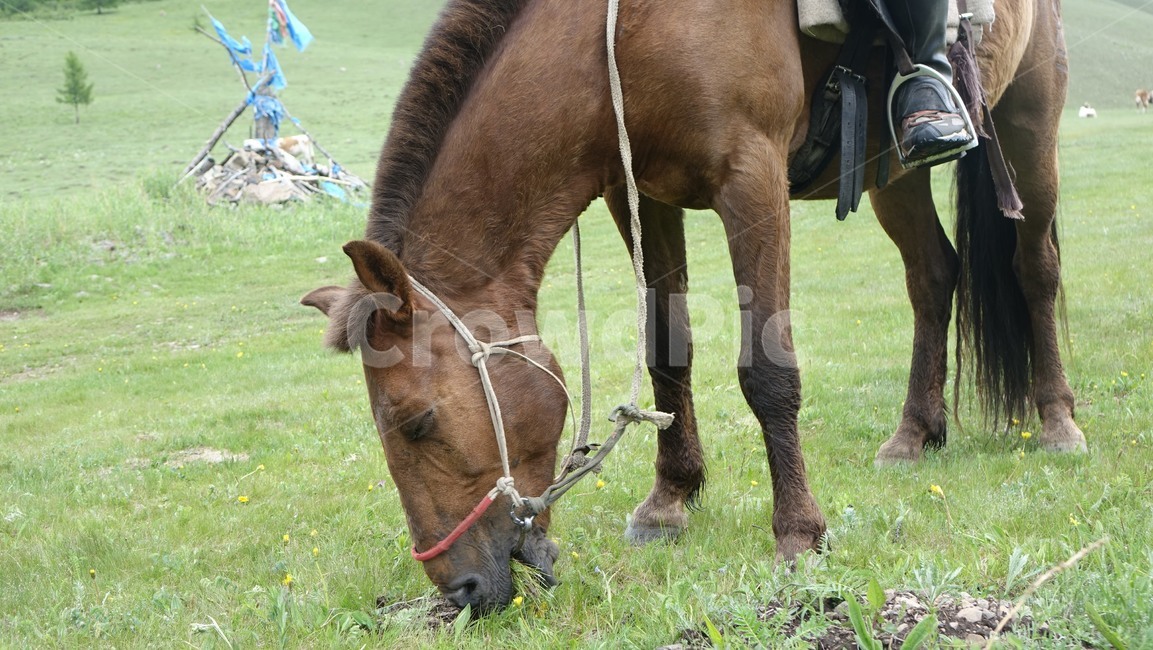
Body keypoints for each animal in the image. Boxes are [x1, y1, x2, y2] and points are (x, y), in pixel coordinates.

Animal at [302, 0, 1085, 612]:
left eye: (416, 422)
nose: (460, 591)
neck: (624, 31)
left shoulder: (751, 176)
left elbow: (767, 369)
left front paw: (798, 533)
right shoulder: (639, 194)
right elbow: (665, 349)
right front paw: (669, 499)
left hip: (1030, 119)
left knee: (1034, 269)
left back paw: (1056, 421)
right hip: (891, 170)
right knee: (931, 275)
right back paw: (915, 432)